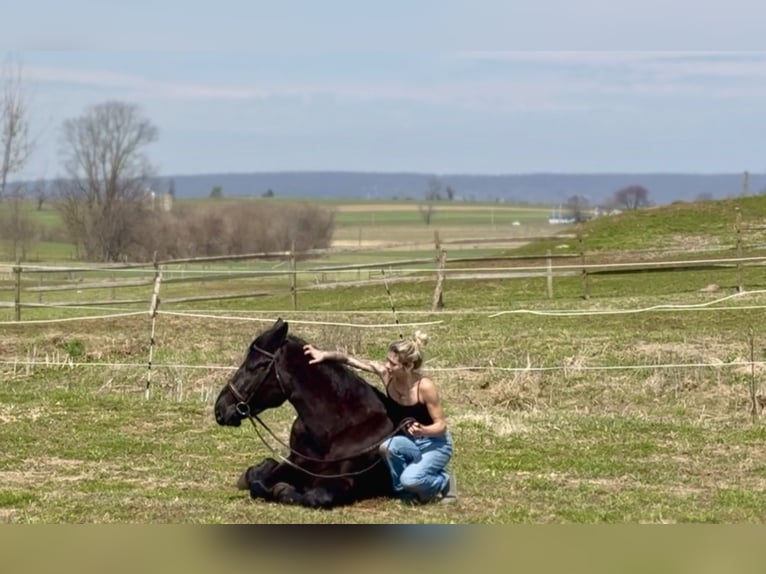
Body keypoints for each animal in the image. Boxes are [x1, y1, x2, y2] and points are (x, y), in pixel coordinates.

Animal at [214, 318, 398, 508]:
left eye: (259, 365)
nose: (220, 409)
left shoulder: (342, 481)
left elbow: (309, 496)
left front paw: (281, 488)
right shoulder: (296, 462)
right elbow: (258, 480)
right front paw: (261, 469)